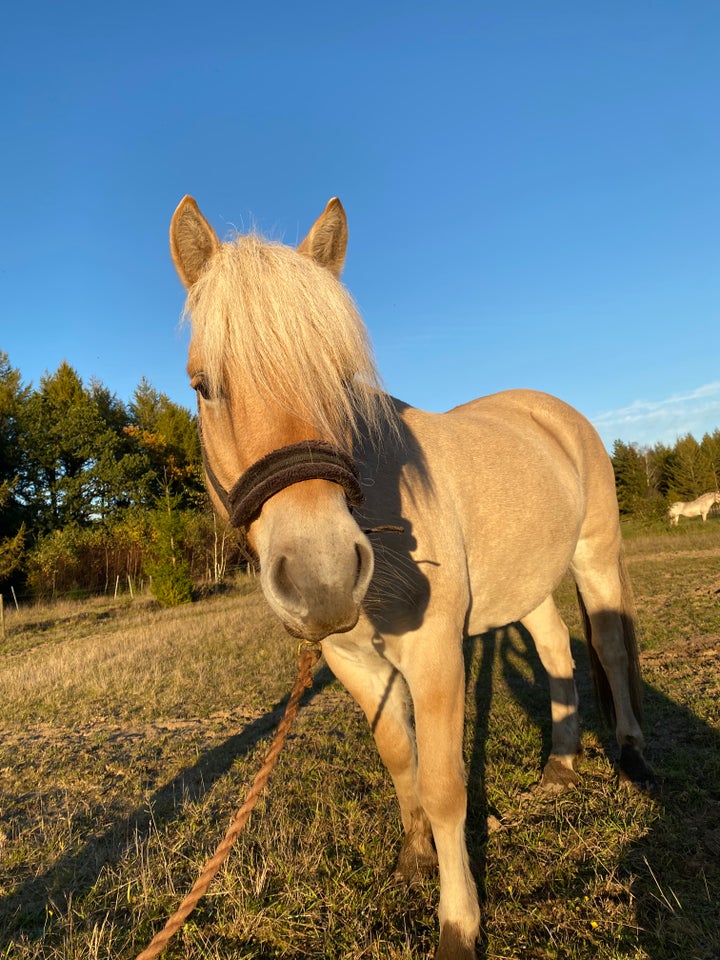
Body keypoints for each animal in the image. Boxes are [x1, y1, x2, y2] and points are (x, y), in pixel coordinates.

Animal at [167, 195, 652, 960]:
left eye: (343, 380)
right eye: (204, 386)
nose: (323, 577)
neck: (378, 504)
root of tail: (553, 409)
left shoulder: (433, 654)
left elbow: (447, 786)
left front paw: (458, 924)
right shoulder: (350, 658)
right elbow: (401, 760)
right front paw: (413, 860)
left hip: (595, 558)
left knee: (607, 646)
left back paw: (628, 751)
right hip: (528, 584)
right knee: (554, 651)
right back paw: (560, 767)